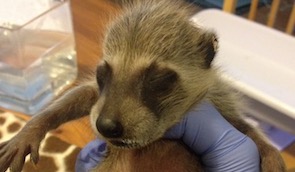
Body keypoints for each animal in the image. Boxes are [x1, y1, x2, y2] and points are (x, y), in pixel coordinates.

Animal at [0, 0, 286, 172]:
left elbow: (244, 127)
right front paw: (35, 125)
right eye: (103, 73)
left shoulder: (219, 100)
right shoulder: (101, 96)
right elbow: (83, 95)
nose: (106, 126)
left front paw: (269, 150)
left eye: (156, 79)